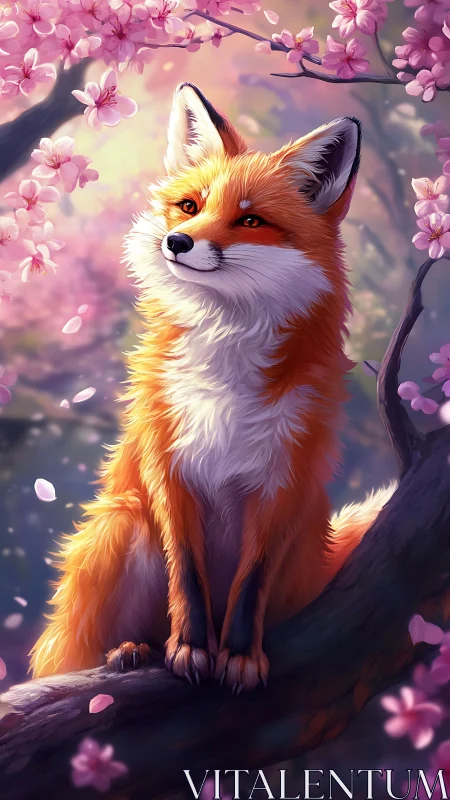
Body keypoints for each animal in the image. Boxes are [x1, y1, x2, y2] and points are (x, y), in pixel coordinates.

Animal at [30, 82, 395, 692]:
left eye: (250, 221)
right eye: (190, 207)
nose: (177, 242)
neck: (224, 364)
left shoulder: (282, 482)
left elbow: (250, 584)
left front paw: (240, 655)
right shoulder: (168, 469)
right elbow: (188, 576)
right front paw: (191, 647)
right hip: (121, 524)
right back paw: (130, 650)